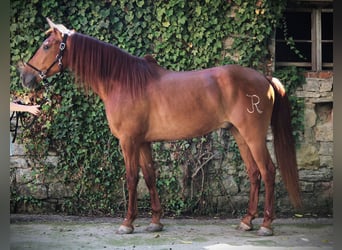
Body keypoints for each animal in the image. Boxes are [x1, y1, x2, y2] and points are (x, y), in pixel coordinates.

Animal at [20, 19, 300, 236]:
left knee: (268, 171)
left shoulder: (128, 141)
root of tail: (264, 78)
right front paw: (155, 221)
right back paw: (246, 221)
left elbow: (131, 178)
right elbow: (150, 176)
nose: (26, 77)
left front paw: (127, 223)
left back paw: (265, 225)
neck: (122, 81)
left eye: (46, 46)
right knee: (254, 173)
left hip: (254, 137)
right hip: (239, 135)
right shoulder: (143, 142)